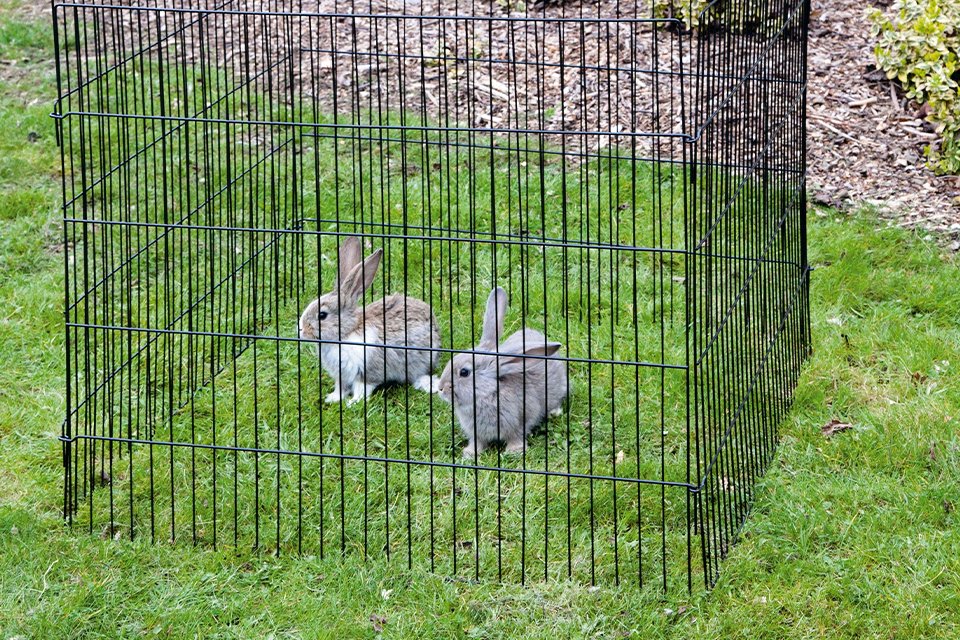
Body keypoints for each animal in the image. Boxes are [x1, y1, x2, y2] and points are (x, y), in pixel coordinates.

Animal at [299, 236, 441, 405]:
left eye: (322, 315)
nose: (301, 330)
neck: (345, 333)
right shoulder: (342, 376)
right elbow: (341, 388)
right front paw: (332, 399)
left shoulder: (368, 371)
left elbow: (362, 389)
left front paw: (352, 403)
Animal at [437, 286, 568, 458]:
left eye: (464, 372)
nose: (440, 388)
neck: (487, 393)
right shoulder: (476, 433)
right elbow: (477, 441)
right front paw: (470, 454)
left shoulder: (522, 418)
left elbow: (517, 435)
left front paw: (514, 451)